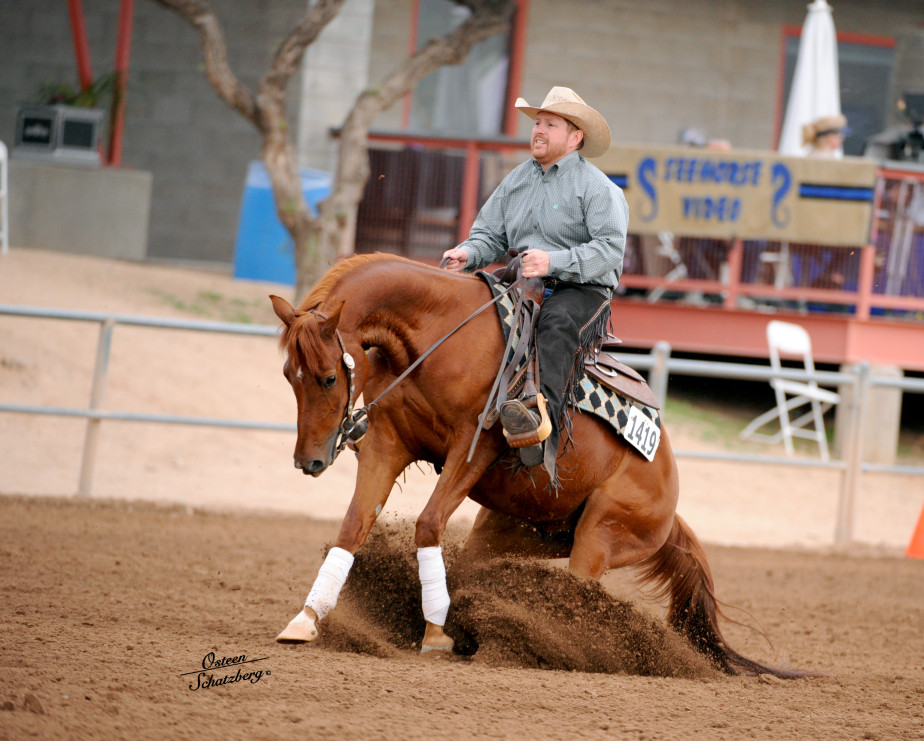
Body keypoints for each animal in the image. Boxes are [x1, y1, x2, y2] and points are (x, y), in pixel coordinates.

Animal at [270, 254, 796, 676]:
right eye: (289, 375)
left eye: (329, 376)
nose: (308, 460)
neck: (439, 334)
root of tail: (670, 499)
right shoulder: (388, 444)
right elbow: (353, 526)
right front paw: (307, 619)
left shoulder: (474, 445)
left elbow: (428, 523)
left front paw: (436, 634)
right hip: (512, 530)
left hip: (601, 537)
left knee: (576, 593)